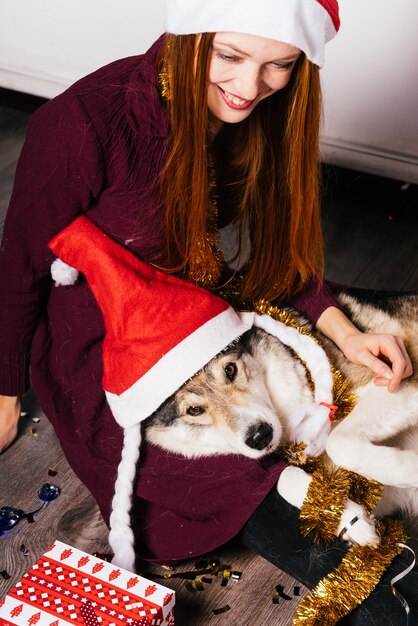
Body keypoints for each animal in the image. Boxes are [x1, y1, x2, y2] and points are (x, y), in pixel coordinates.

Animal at [145, 292, 418, 540]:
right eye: (194, 410)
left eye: (230, 370)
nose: (261, 436)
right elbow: (285, 479)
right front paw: (350, 519)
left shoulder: (399, 384)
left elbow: (339, 442)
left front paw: (411, 469)